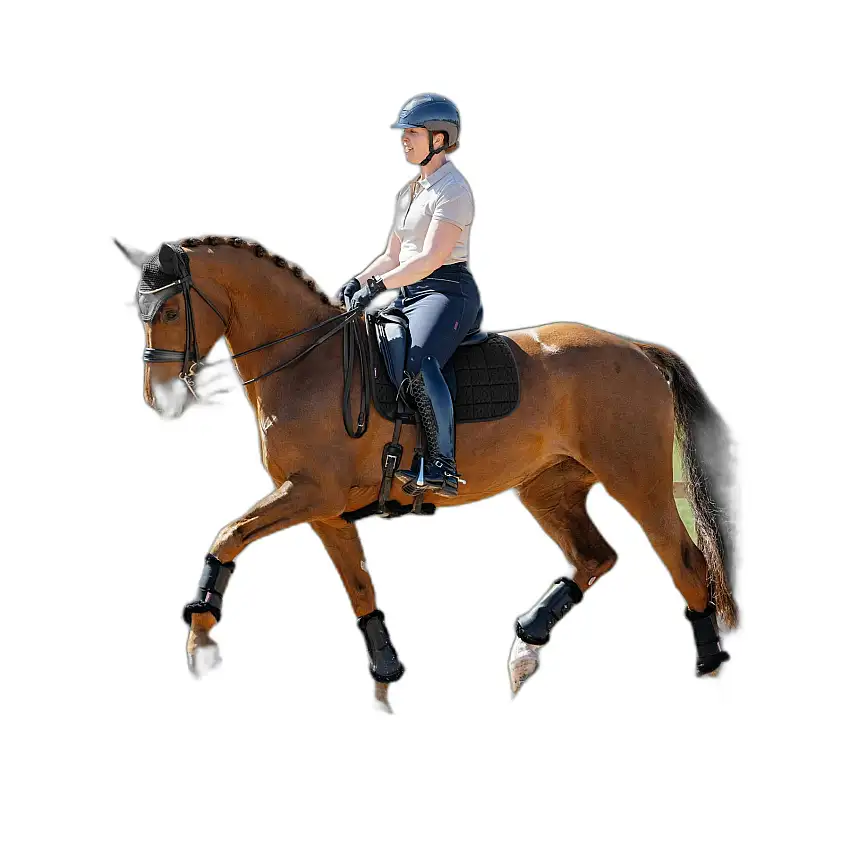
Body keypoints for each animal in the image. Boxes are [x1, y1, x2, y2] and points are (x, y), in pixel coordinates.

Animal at [117, 234, 737, 711]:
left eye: (169, 311)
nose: (159, 398)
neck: (309, 367)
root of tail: (635, 347)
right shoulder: (324, 510)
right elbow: (360, 590)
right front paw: (385, 680)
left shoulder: (310, 494)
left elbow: (227, 536)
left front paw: (200, 639)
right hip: (547, 488)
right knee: (595, 557)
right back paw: (526, 646)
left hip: (637, 482)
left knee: (686, 563)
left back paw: (710, 668)